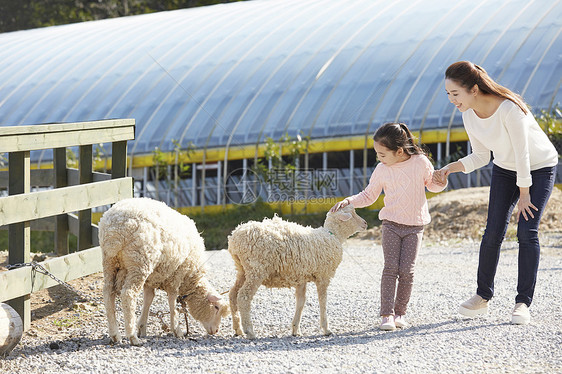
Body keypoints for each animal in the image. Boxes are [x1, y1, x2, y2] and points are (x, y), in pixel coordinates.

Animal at [98, 197, 228, 346]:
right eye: (216, 307)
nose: (216, 331)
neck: (190, 280)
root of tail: (115, 227)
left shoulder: (151, 280)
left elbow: (148, 300)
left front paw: (142, 327)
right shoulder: (176, 275)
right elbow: (172, 301)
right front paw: (177, 329)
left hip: (110, 262)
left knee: (108, 293)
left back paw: (115, 335)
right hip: (139, 262)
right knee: (128, 294)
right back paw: (132, 337)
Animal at [228, 205, 368, 338]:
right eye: (352, 213)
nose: (365, 223)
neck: (332, 235)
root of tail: (234, 238)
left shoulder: (301, 278)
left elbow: (301, 301)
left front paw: (296, 329)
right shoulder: (323, 276)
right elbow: (322, 301)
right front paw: (326, 329)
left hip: (242, 270)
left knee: (233, 294)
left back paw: (238, 329)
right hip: (256, 269)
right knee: (243, 296)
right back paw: (249, 331)